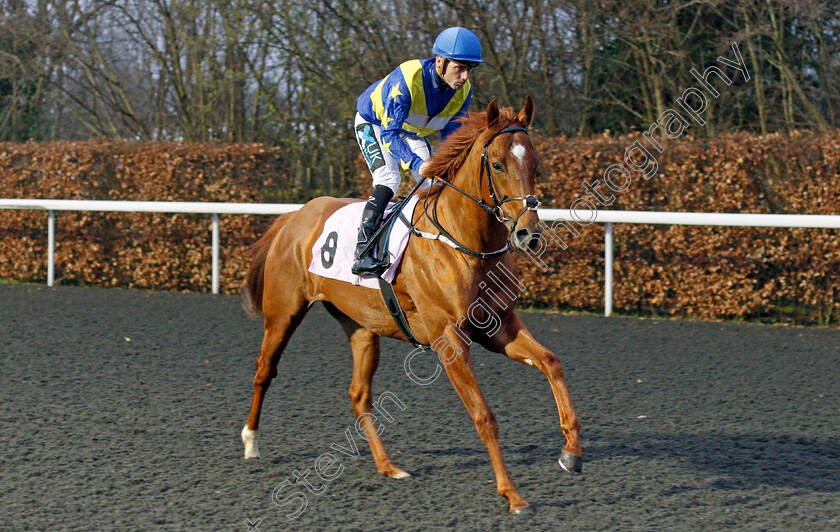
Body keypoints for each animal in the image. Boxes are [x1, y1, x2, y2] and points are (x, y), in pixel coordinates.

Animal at [243, 97, 580, 512]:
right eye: (499, 164)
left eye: (535, 164)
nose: (528, 234)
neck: (465, 243)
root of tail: (295, 216)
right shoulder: (449, 338)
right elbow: (483, 415)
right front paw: (512, 494)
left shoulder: (498, 325)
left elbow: (551, 362)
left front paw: (572, 452)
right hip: (283, 313)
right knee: (264, 370)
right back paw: (251, 442)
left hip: (361, 326)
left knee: (359, 395)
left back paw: (388, 466)